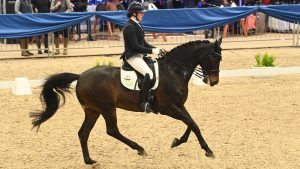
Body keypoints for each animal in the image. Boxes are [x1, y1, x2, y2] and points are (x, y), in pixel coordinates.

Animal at [30, 38, 223, 164]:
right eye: (215, 57)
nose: (214, 81)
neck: (173, 71)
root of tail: (81, 76)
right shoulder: (168, 108)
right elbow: (192, 123)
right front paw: (208, 150)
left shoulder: (179, 105)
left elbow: (191, 123)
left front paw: (177, 141)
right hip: (107, 108)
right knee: (112, 130)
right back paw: (139, 149)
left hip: (93, 110)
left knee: (83, 133)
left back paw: (89, 161)